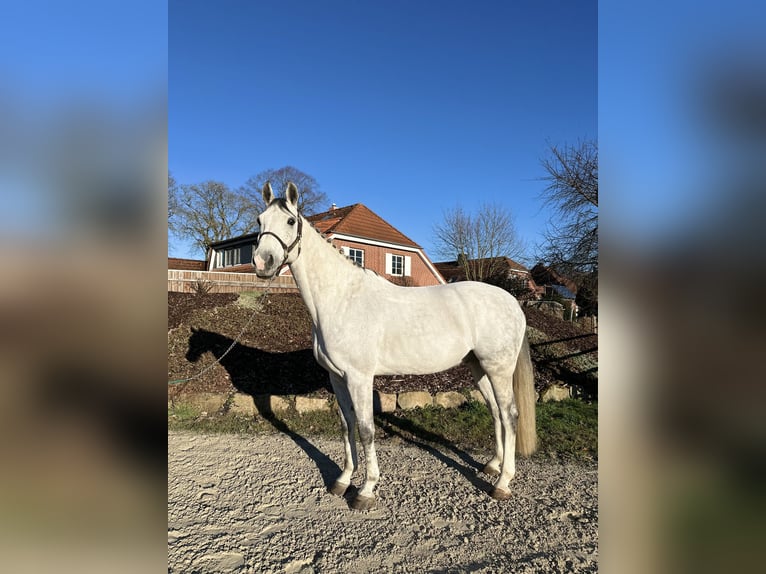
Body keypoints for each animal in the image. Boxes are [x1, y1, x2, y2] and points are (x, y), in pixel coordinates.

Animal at [252, 181, 537, 510]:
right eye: (259, 221)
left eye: (290, 221)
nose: (262, 262)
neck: (342, 299)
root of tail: (512, 302)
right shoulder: (336, 378)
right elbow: (347, 424)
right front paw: (342, 481)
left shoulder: (359, 378)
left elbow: (366, 430)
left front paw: (366, 490)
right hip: (478, 368)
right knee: (495, 412)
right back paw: (492, 465)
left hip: (498, 368)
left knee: (510, 415)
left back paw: (502, 483)